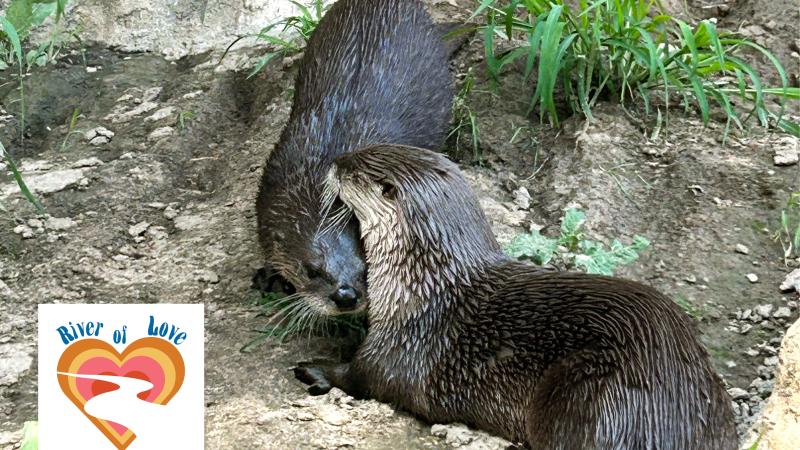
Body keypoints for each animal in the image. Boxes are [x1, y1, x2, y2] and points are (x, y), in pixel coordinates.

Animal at [294, 145, 737, 449]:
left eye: (354, 169)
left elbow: (365, 376)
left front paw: (317, 370)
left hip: (592, 396)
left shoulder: (407, 344)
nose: (334, 160)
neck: (422, 283)